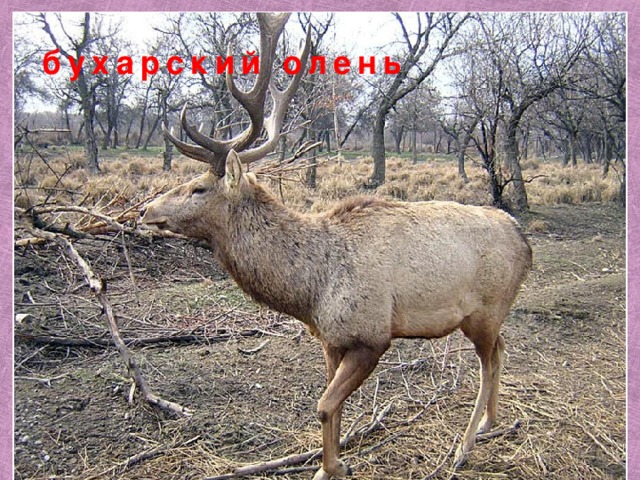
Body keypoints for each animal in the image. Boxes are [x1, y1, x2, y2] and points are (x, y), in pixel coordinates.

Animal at [140, 13, 532, 480]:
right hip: (490, 317)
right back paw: (492, 421)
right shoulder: (330, 339)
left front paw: (331, 468)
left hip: (485, 309)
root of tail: (525, 242)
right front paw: (332, 461)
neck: (312, 289)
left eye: (198, 188)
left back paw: (466, 445)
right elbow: (335, 406)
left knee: (488, 363)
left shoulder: (371, 335)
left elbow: (325, 405)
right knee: (503, 350)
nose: (146, 210)